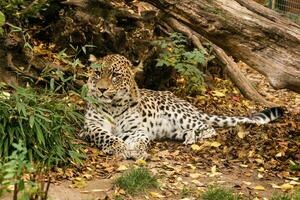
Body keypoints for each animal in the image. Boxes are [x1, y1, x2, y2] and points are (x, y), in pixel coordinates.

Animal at [79, 54, 284, 160]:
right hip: (173, 128)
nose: (102, 89)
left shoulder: (136, 129)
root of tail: (185, 102)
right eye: (97, 73)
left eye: (115, 75)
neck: (113, 106)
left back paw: (193, 138)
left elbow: (141, 139)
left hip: (178, 113)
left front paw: (137, 150)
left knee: (208, 128)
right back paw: (188, 137)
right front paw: (120, 148)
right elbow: (107, 136)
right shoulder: (91, 126)